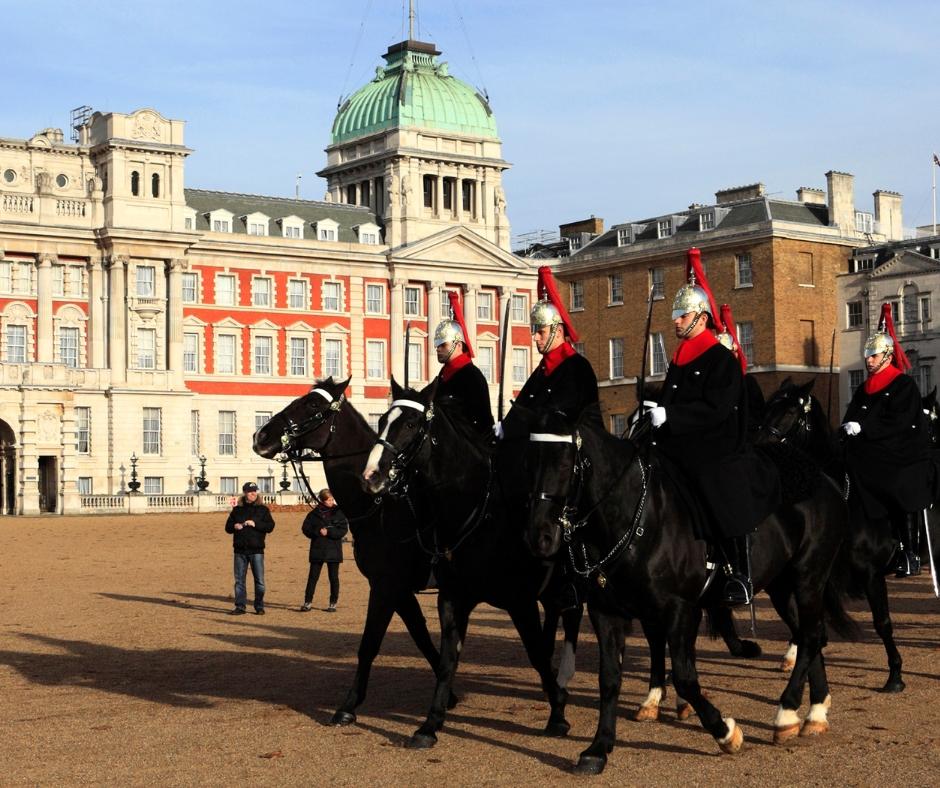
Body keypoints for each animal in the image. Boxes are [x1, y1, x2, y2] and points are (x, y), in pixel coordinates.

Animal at [250, 378, 456, 724]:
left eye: (312, 405)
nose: (260, 436)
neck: (382, 507)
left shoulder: (387, 586)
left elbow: (370, 643)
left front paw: (348, 705)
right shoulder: (397, 589)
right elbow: (421, 636)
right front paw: (450, 694)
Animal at [364, 382, 572, 752]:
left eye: (411, 424)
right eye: (382, 421)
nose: (371, 475)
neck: (479, 513)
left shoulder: (520, 601)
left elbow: (535, 652)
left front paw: (558, 714)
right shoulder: (452, 597)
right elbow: (448, 659)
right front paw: (430, 724)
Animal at [524, 410, 856, 772]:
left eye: (565, 460)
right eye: (529, 460)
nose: (540, 537)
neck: (633, 518)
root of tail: (823, 479)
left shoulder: (680, 608)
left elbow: (685, 675)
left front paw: (725, 732)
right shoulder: (606, 611)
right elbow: (610, 677)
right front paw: (598, 748)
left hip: (808, 577)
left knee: (809, 635)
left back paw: (786, 713)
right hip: (782, 586)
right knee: (812, 634)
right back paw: (813, 713)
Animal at [756, 376, 932, 688]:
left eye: (790, 412)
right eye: (766, 408)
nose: (760, 449)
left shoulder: (871, 574)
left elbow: (882, 622)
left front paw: (895, 675)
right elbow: (807, 625)